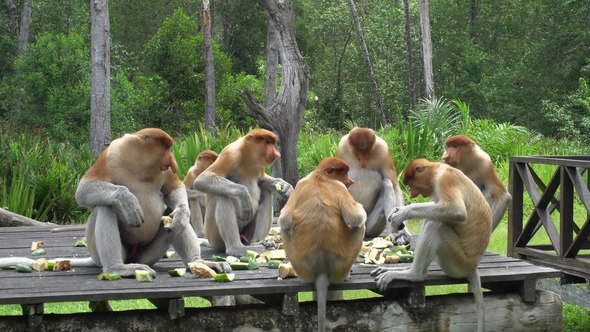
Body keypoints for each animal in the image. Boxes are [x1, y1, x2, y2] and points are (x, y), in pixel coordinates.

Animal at [0, 128, 232, 276]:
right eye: (165, 148)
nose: (173, 162)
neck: (140, 165)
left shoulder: (165, 174)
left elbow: (173, 190)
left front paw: (182, 214)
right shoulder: (110, 155)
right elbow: (83, 190)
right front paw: (126, 199)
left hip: (147, 255)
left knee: (170, 216)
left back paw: (199, 261)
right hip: (102, 249)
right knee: (105, 207)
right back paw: (117, 268)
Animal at [280, 158, 368, 332]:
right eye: (344, 172)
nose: (350, 181)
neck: (320, 178)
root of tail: (322, 269)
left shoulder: (300, 183)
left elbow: (284, 219)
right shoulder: (339, 187)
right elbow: (357, 217)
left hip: (302, 266)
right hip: (337, 268)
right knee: (359, 225)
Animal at [372, 159, 492, 332]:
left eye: (412, 183)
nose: (413, 193)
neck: (438, 169)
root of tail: (473, 265)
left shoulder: (445, 180)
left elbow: (456, 212)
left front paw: (403, 212)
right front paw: (398, 210)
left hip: (457, 260)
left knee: (436, 224)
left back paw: (414, 274)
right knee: (432, 218)